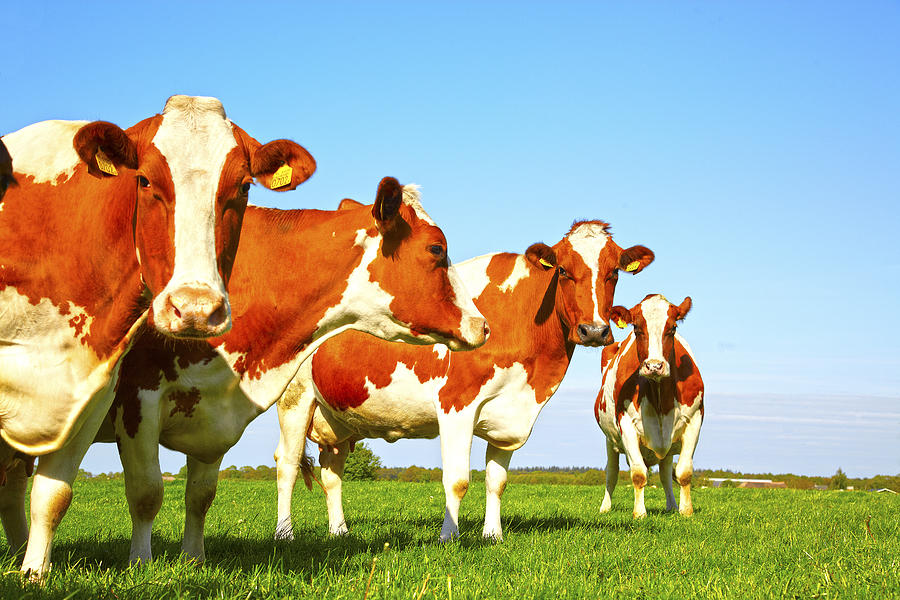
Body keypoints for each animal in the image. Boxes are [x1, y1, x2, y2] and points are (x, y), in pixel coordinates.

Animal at [0, 96, 316, 580]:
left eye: (244, 187)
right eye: (145, 180)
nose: (196, 310)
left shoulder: (92, 392)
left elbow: (52, 496)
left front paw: (34, 572)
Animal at [94, 177, 488, 564]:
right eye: (436, 248)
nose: (482, 325)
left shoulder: (215, 414)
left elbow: (200, 496)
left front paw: (194, 560)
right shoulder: (138, 397)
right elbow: (147, 492)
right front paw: (141, 563)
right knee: (288, 462)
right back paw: (285, 533)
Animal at [274, 221, 652, 544]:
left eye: (614, 272)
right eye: (562, 270)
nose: (594, 331)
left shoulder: (509, 413)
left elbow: (497, 481)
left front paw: (493, 535)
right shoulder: (456, 405)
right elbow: (456, 479)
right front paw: (449, 537)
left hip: (336, 416)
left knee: (331, 472)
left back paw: (339, 532)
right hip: (295, 399)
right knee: (287, 464)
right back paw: (284, 534)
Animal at [596, 292, 704, 516]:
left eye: (673, 328)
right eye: (637, 328)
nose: (654, 366)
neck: (660, 395)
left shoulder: (695, 418)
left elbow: (683, 472)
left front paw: (686, 511)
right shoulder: (626, 423)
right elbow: (638, 473)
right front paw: (639, 513)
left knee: (665, 475)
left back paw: (672, 505)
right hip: (610, 440)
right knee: (611, 473)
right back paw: (605, 507)